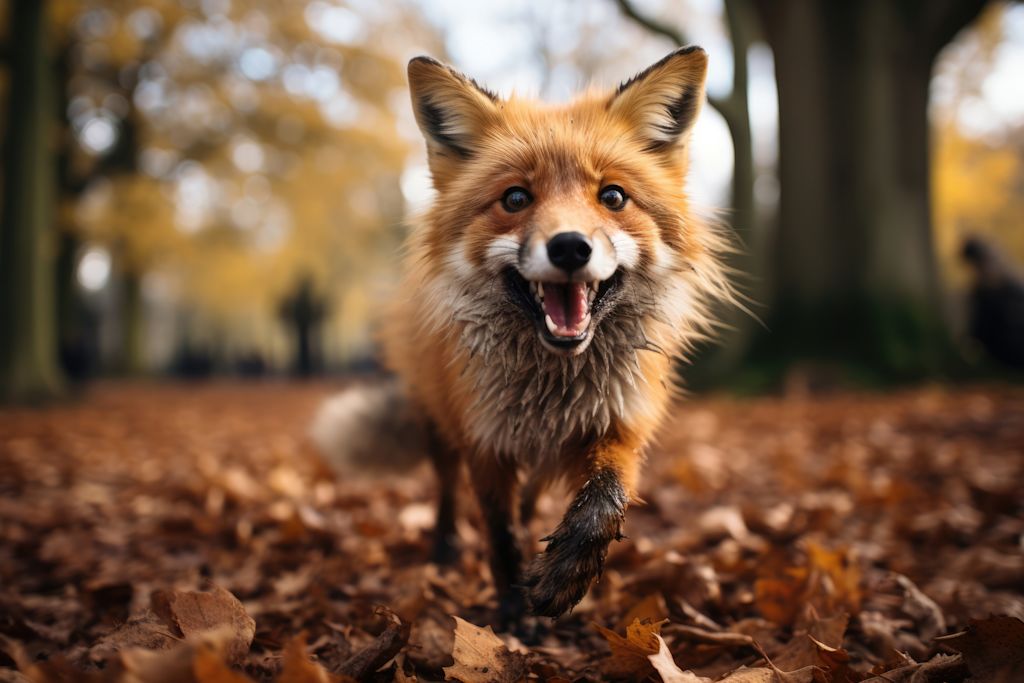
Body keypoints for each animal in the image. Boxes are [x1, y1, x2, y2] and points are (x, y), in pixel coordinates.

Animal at [312, 47, 735, 622]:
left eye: (613, 196)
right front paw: (513, 607)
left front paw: (565, 574)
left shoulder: (618, 423)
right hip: (438, 421)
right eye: (515, 198)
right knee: (446, 488)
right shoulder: (484, 440)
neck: (552, 388)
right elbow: (501, 531)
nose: (570, 246)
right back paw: (444, 549)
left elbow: (604, 500)